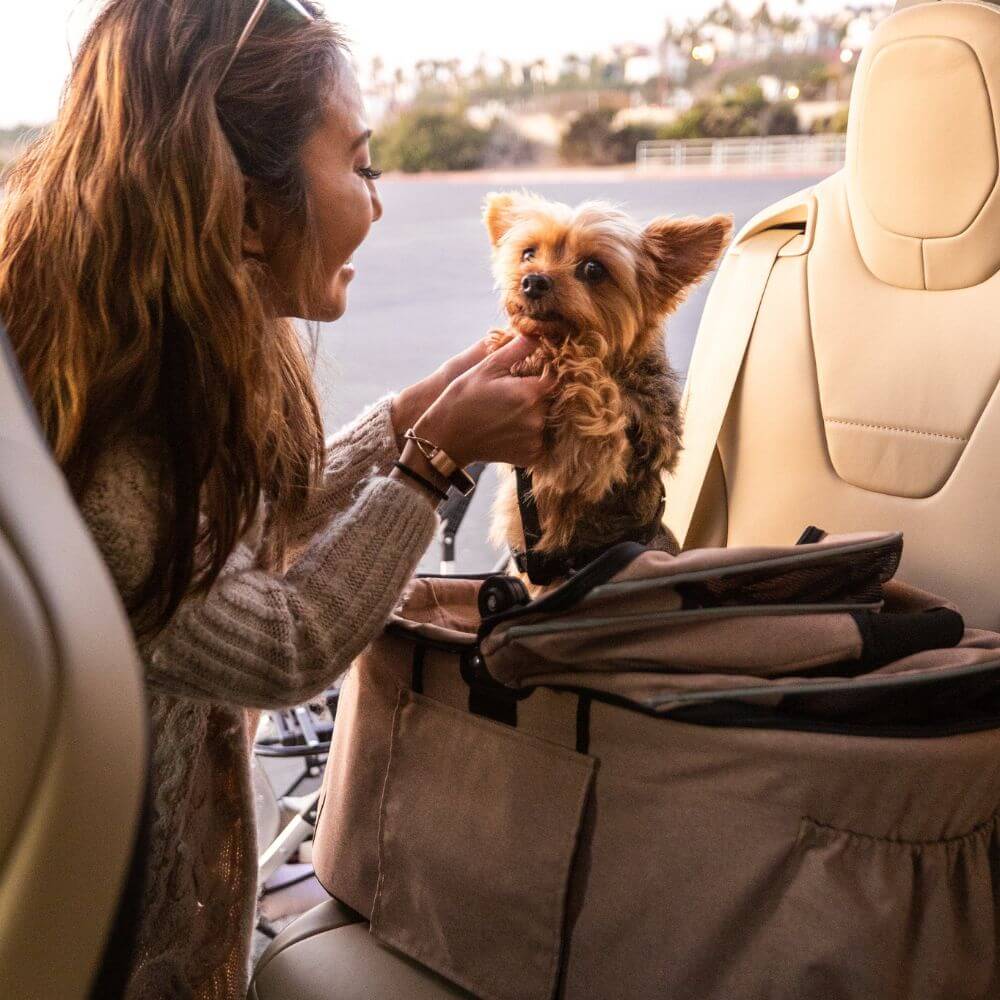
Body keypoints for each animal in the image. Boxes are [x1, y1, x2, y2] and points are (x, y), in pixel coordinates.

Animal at [484, 191, 736, 588]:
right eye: (528, 254)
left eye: (593, 269)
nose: (532, 281)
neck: (616, 364)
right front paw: (510, 343)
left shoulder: (600, 446)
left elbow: (586, 399)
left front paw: (549, 355)